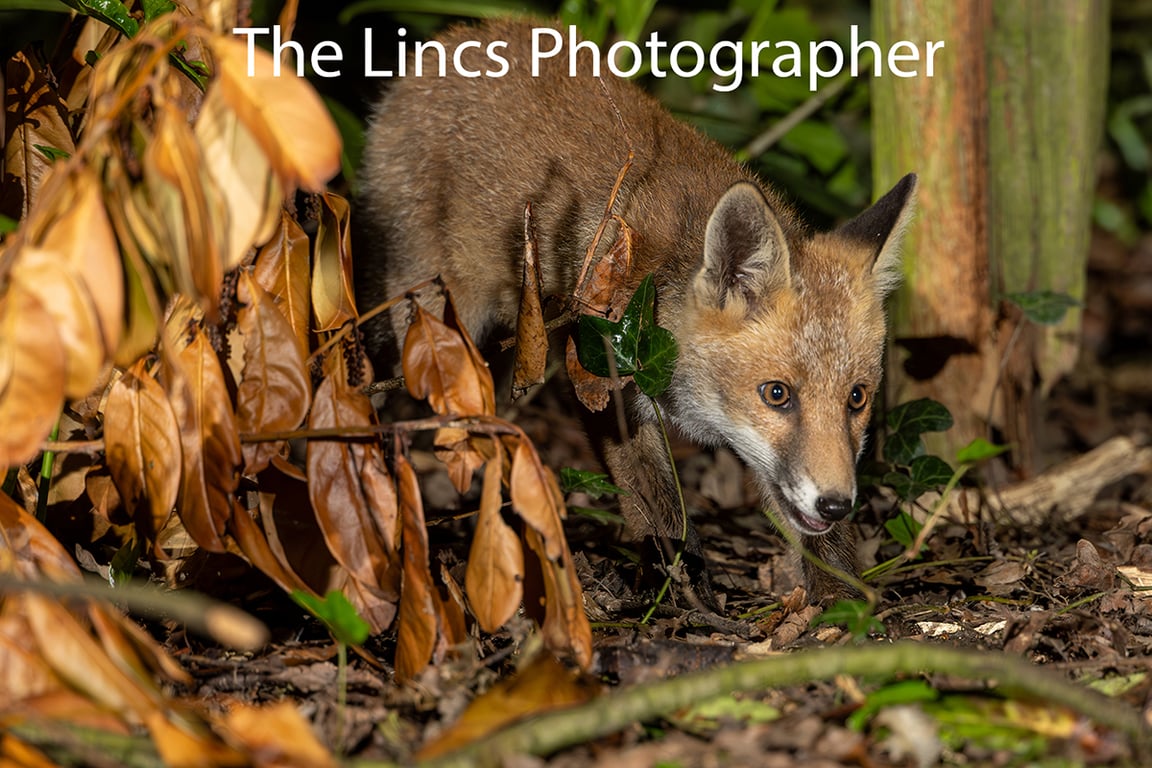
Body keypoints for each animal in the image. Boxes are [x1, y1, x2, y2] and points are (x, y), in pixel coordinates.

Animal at [355, 19, 917, 610]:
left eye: (857, 398)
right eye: (776, 394)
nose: (836, 503)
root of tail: (455, 36)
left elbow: (817, 542)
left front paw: (843, 603)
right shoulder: (605, 373)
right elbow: (658, 507)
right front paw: (680, 592)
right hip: (427, 323)